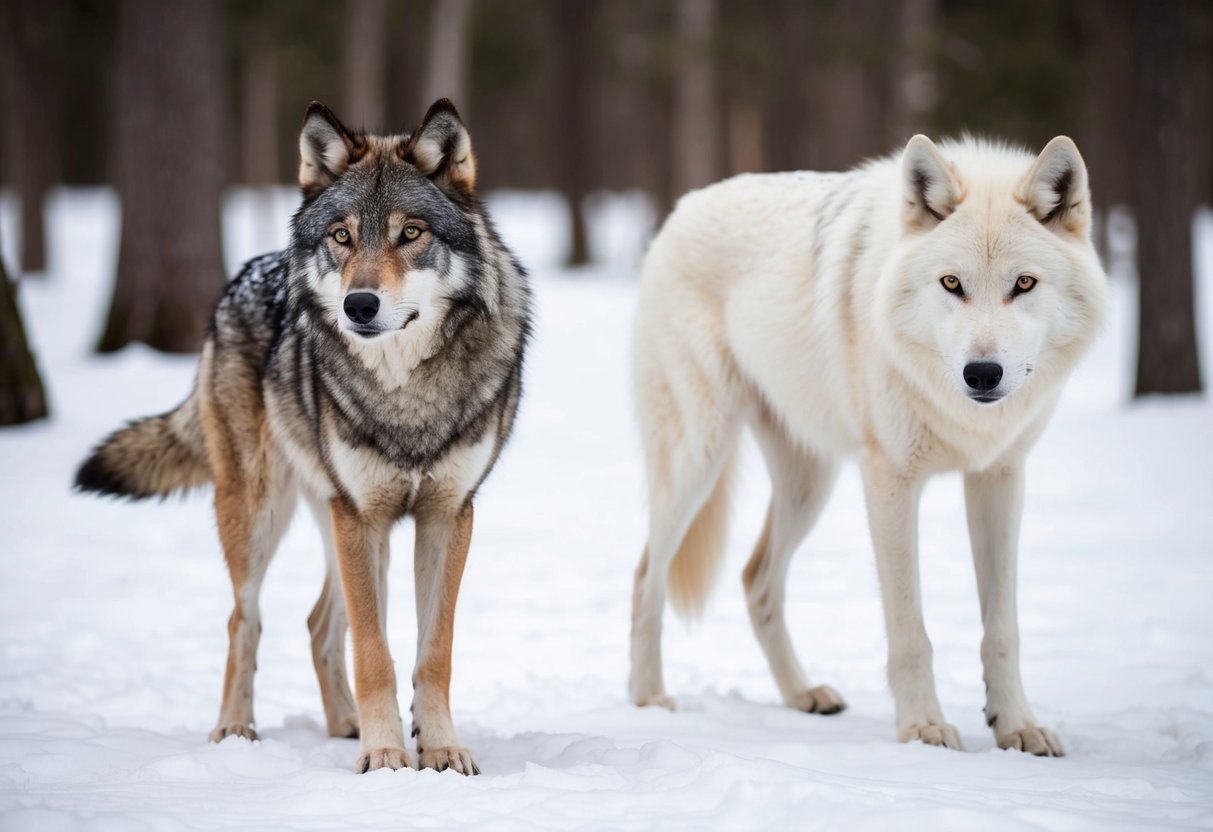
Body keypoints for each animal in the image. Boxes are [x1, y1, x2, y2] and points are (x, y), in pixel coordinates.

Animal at [75, 99, 531, 775]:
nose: (359, 305)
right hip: (267, 514)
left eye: (411, 234)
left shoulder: (448, 515)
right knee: (246, 619)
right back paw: (236, 729)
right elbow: (374, 651)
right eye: (342, 236)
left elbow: (432, 652)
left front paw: (439, 747)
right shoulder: (360, 516)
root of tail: (238, 278)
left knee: (319, 623)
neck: (405, 394)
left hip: (350, 526)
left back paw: (345, 725)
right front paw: (386, 756)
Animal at [628, 135, 1107, 756]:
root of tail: (681, 209)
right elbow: (910, 629)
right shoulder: (890, 484)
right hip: (697, 461)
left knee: (756, 580)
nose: (982, 373)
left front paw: (1017, 726)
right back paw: (648, 699)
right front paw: (923, 728)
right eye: (951, 284)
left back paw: (803, 695)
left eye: (1023, 284)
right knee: (646, 576)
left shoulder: (999, 478)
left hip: (810, 486)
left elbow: (1002, 628)